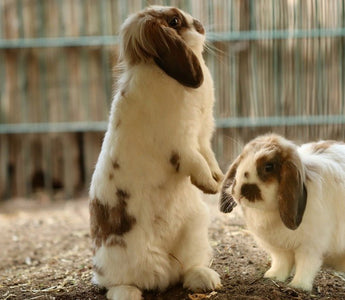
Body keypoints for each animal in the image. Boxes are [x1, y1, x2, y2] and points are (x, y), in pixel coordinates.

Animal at [88, 5, 222, 300]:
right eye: (174, 21)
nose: (200, 25)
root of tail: (162, 272)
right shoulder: (181, 143)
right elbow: (196, 162)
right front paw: (208, 186)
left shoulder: (202, 135)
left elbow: (208, 156)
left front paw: (218, 179)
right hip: (114, 258)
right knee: (112, 282)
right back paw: (127, 293)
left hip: (196, 233)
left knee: (185, 271)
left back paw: (206, 279)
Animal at [219, 134, 344, 290]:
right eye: (241, 160)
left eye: (269, 167)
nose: (239, 191)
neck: (269, 212)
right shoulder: (280, 249)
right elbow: (282, 262)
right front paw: (273, 276)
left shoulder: (310, 246)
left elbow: (306, 265)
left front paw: (298, 286)